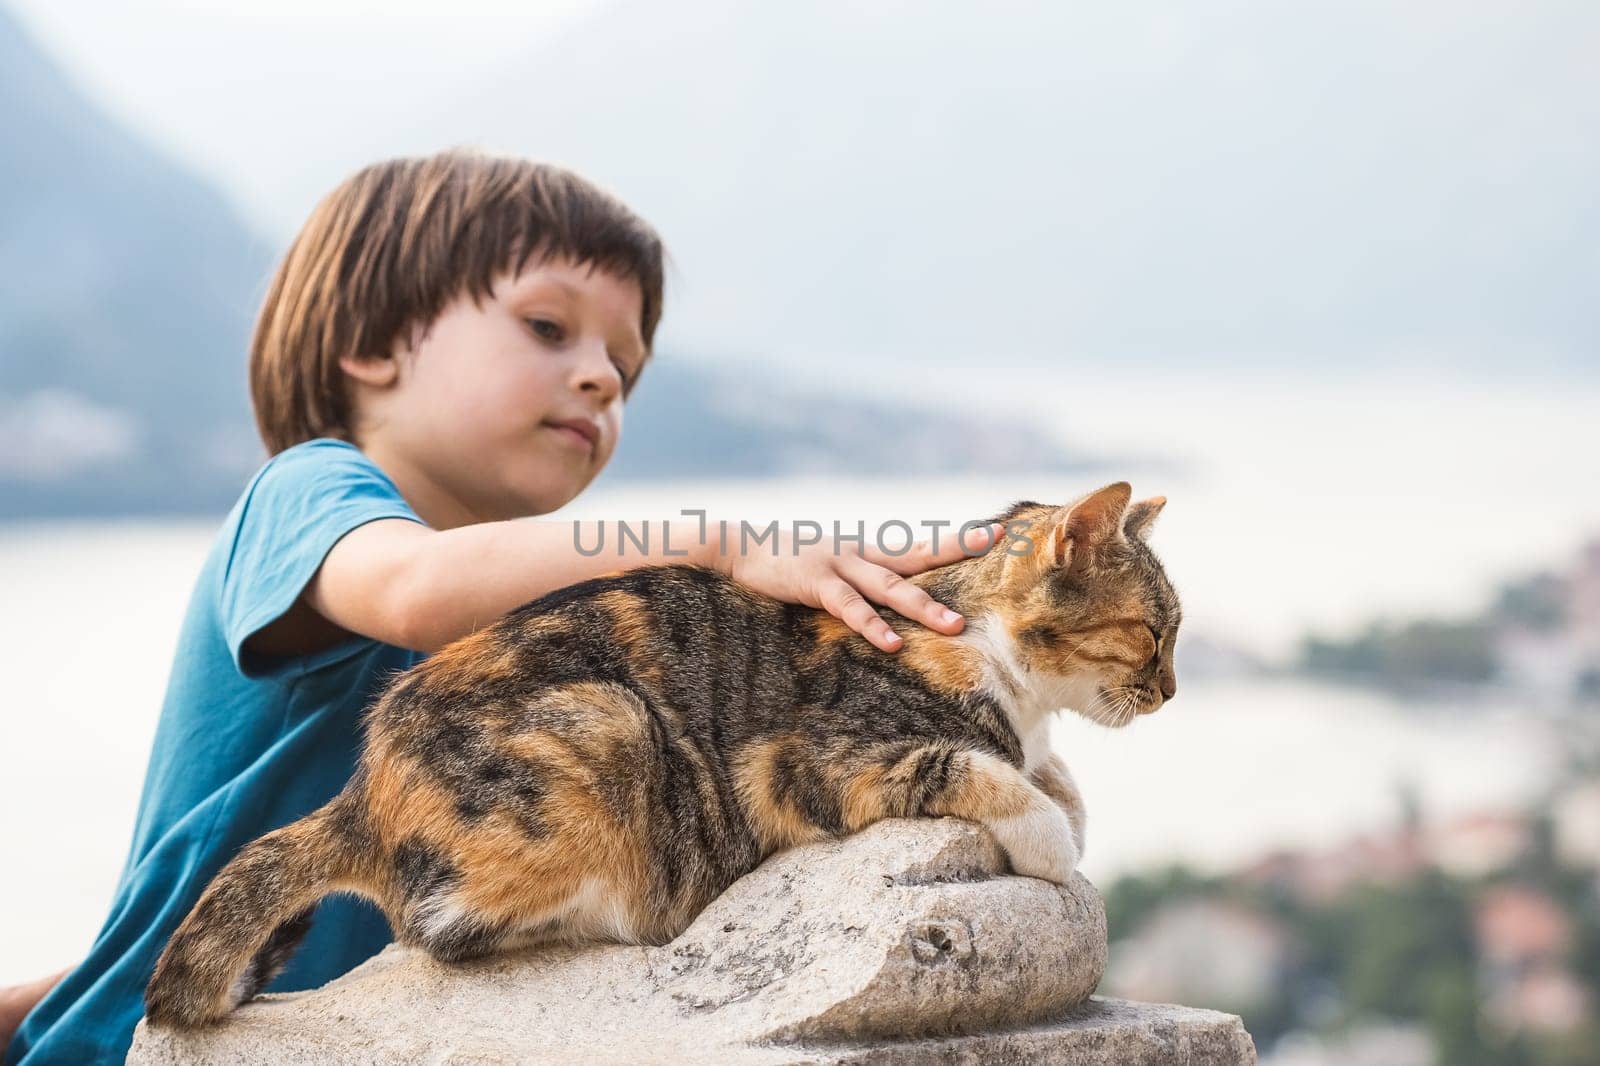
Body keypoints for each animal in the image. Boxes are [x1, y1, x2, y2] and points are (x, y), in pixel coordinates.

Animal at [144, 480, 1184, 1024]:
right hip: (610, 726)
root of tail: (364, 790)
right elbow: (978, 769)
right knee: (438, 926)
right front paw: (1050, 839)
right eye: (1153, 632)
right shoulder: (814, 761)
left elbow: (1049, 770)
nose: (1172, 691)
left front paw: (1063, 792)